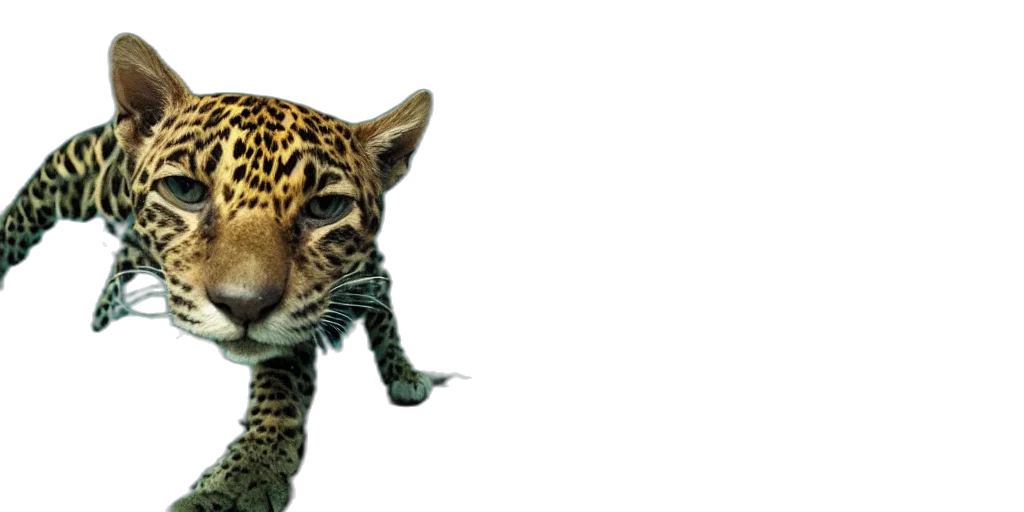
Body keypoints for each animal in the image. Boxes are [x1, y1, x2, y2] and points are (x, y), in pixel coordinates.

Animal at [0, 33, 437, 511]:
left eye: (326, 207)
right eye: (184, 189)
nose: (244, 306)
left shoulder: (353, 286)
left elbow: (369, 329)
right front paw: (239, 483)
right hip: (67, 182)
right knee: (25, 213)